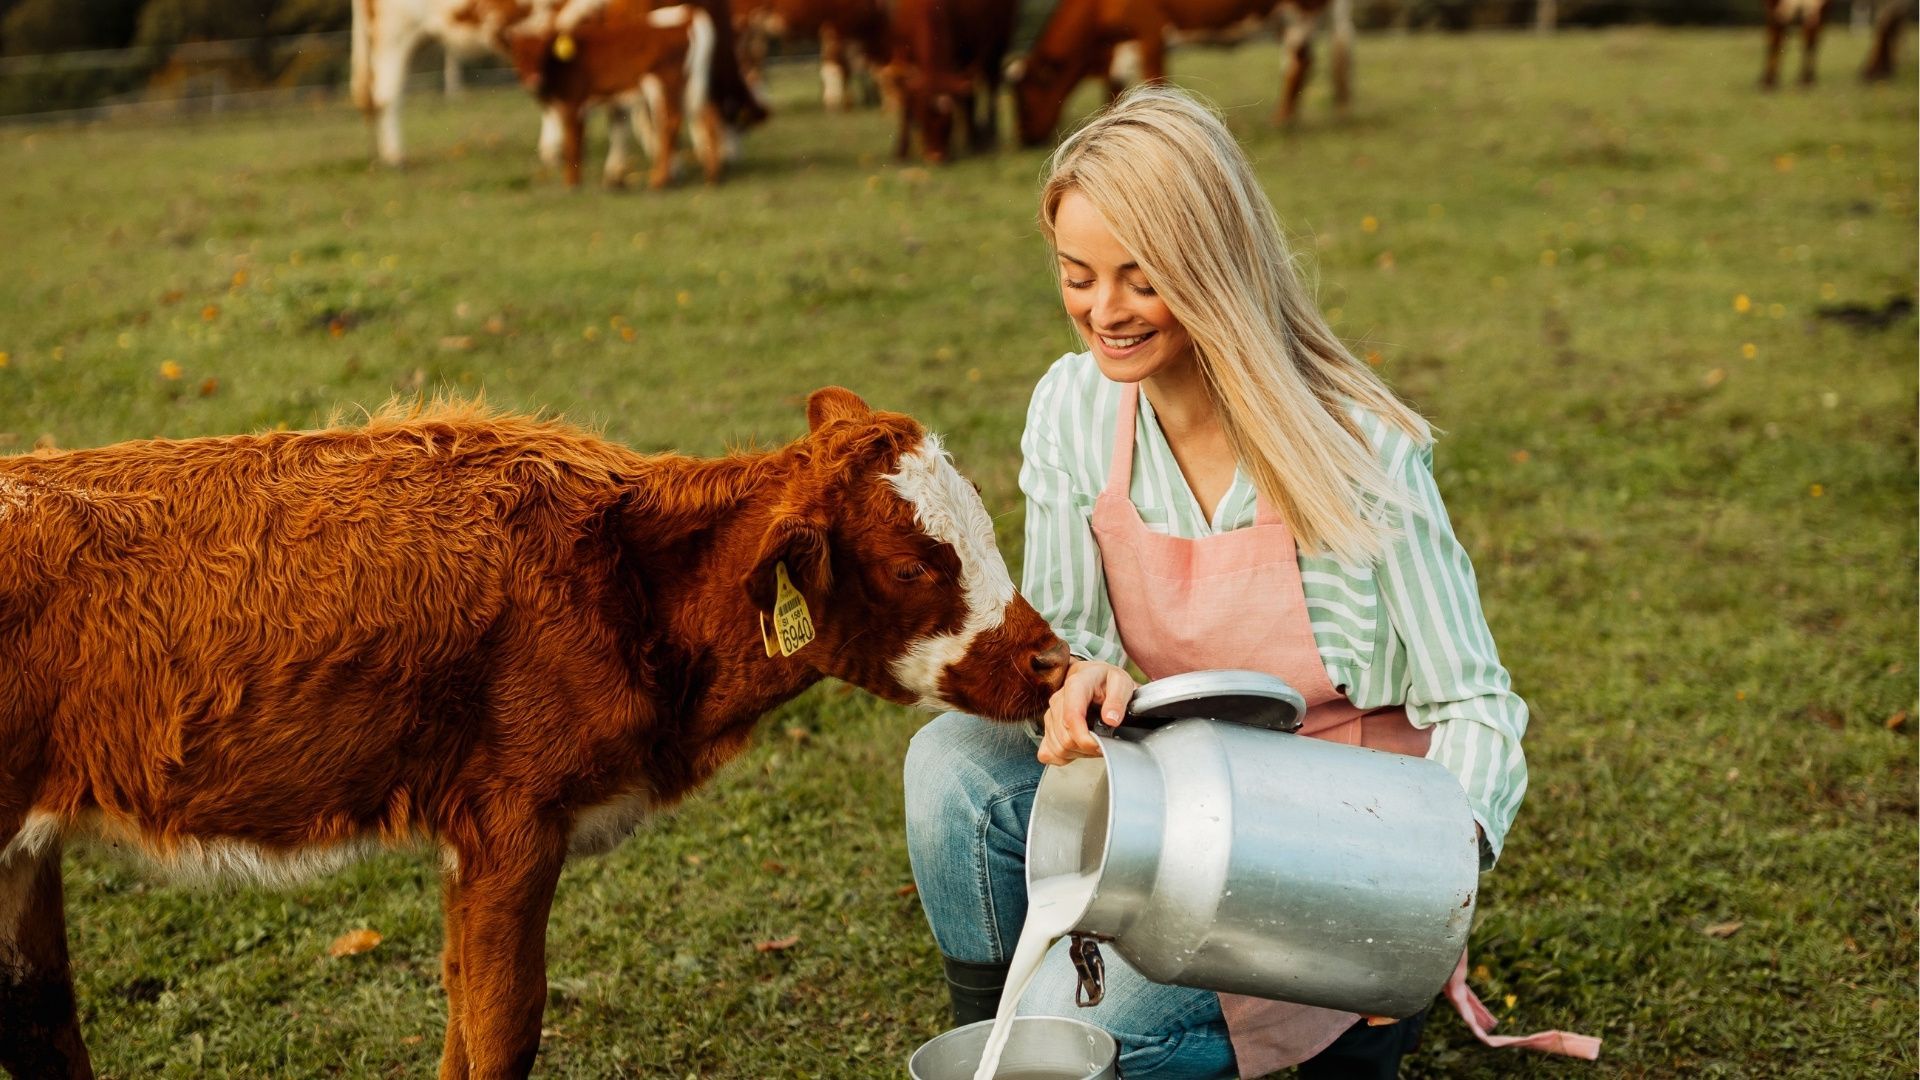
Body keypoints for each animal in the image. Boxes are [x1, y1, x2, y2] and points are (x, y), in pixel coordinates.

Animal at [0, 389, 1070, 1079]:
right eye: (913, 566)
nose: (1050, 663)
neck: (623, 578)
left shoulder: (468, 842)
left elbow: (462, 1012)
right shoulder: (513, 821)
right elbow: (502, 1027)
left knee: (41, 1014)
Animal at [510, 1, 727, 188]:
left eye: (542, 53)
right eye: (518, 55)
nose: (533, 79)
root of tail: (685, 14)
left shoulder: (574, 104)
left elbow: (573, 144)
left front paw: (572, 184)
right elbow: (611, 132)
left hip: (665, 83)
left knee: (669, 123)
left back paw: (659, 181)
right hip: (695, 82)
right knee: (708, 115)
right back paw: (712, 176)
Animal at [732, 0, 890, 111]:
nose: (884, 105)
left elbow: (850, 69)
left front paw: (850, 101)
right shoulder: (837, 27)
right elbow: (835, 66)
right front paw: (833, 102)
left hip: (755, 30)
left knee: (753, 62)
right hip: (741, 22)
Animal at [883, 0, 1018, 163]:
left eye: (950, 121)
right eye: (923, 118)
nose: (936, 157)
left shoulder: (965, 55)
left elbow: (968, 100)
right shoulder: (903, 60)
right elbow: (906, 104)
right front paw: (901, 152)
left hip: (998, 46)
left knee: (991, 86)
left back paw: (987, 137)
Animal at [1008, 0, 1356, 148]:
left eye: (1025, 100)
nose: (1024, 139)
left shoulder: (1150, 33)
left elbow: (1154, 83)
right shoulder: (1120, 50)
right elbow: (1115, 92)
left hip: (1301, 14)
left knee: (1298, 62)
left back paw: (1282, 119)